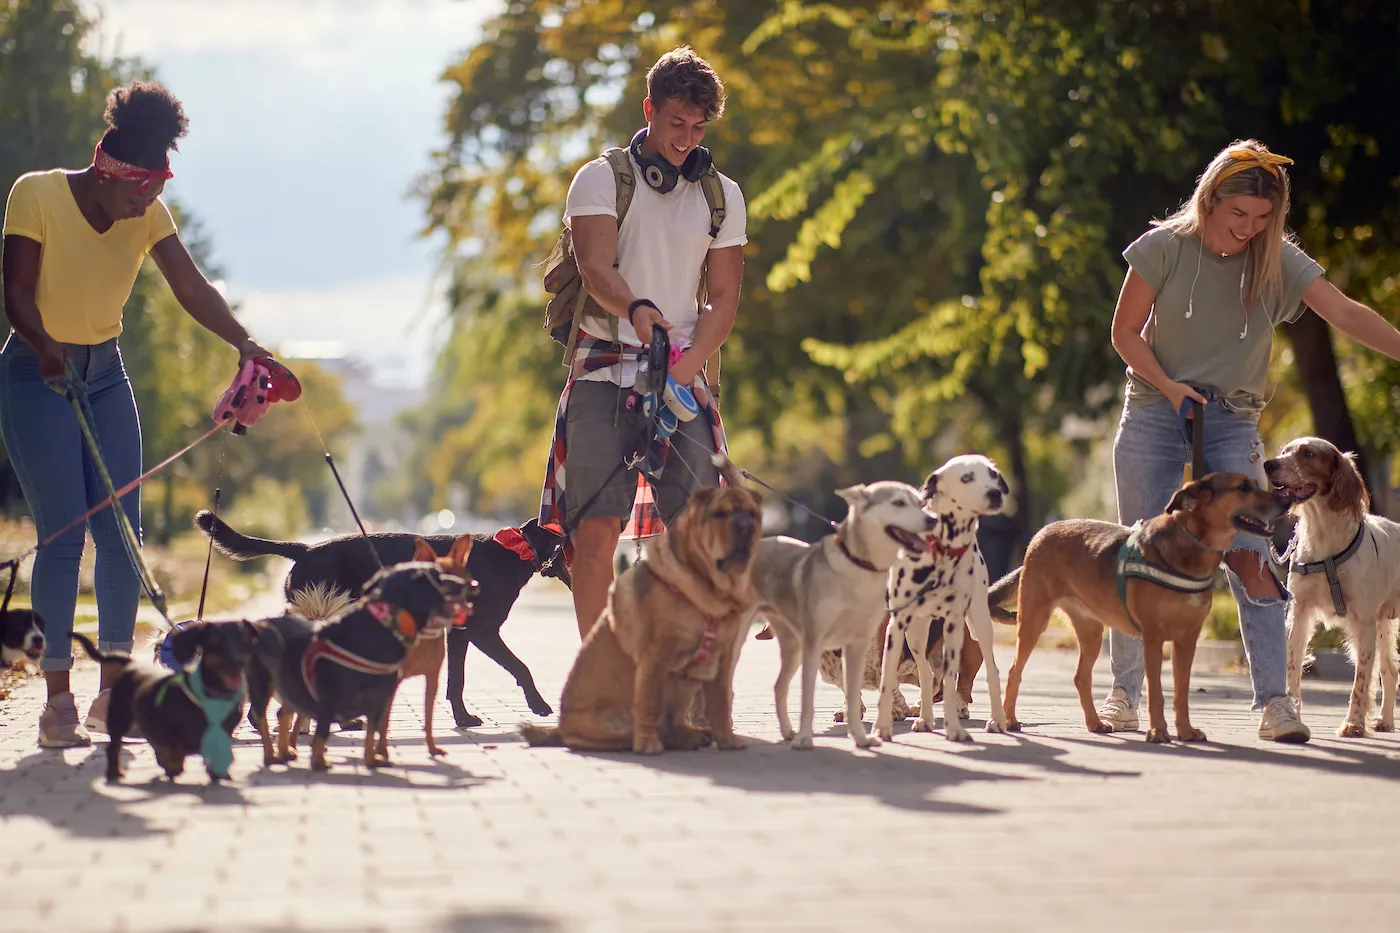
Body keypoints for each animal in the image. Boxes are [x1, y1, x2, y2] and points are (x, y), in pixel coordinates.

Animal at [71, 622, 259, 778]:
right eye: (215, 641)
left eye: (245, 641)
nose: (237, 661)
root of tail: (131, 664)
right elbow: (170, 749)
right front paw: (172, 765)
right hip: (119, 717)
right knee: (114, 745)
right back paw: (114, 772)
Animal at [196, 512, 568, 722]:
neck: (516, 549)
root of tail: (306, 549)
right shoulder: (483, 632)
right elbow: (520, 666)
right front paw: (539, 705)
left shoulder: (460, 634)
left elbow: (456, 681)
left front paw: (462, 719)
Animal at [245, 560, 470, 767]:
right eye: (438, 577)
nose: (470, 585)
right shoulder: (328, 696)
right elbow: (323, 728)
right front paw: (319, 760)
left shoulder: (380, 694)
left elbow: (372, 730)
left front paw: (373, 758)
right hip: (267, 685)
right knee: (267, 717)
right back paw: (272, 754)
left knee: (284, 715)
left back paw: (287, 750)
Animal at [523, 456, 767, 756]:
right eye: (719, 514)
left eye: (753, 515)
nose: (744, 527)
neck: (709, 591)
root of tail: (561, 727)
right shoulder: (655, 659)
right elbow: (649, 704)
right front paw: (649, 744)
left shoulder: (721, 663)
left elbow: (721, 703)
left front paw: (728, 739)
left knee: (676, 722)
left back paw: (692, 735)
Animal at [991, 473, 1282, 739]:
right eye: (1243, 488)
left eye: (1256, 483)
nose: (1285, 499)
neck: (1192, 547)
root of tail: (1041, 533)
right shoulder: (1153, 638)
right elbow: (1155, 691)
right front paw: (1158, 731)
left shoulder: (1187, 640)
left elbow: (1181, 691)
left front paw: (1185, 730)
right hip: (1034, 622)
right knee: (1015, 671)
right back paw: (1009, 720)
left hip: (1091, 631)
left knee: (1081, 677)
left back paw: (1094, 723)